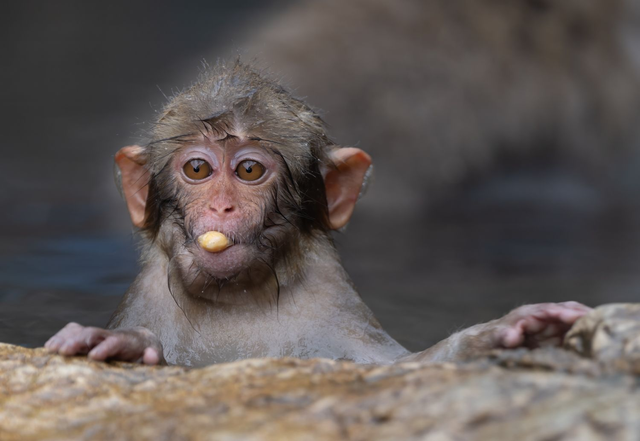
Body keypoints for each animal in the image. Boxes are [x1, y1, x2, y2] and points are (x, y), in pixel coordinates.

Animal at [44, 62, 591, 367]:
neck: (236, 300)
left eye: (248, 169)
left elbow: (395, 367)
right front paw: (123, 343)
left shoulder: (338, 309)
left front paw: (505, 331)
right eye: (198, 168)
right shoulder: (146, 299)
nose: (222, 205)